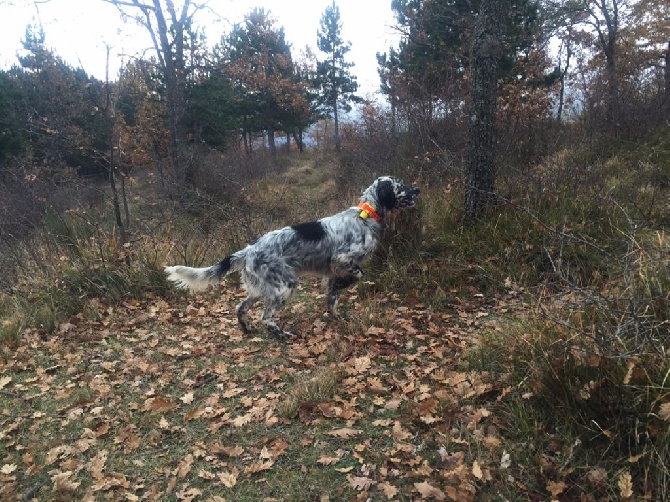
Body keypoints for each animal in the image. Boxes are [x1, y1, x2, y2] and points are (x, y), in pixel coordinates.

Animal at [165, 176, 420, 338]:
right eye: (399, 185)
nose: (417, 190)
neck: (366, 215)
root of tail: (250, 249)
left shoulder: (334, 269)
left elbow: (332, 297)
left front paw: (335, 314)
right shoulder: (342, 259)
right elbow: (356, 275)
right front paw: (342, 287)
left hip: (260, 288)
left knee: (240, 307)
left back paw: (247, 330)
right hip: (284, 285)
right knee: (266, 317)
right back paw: (284, 335)